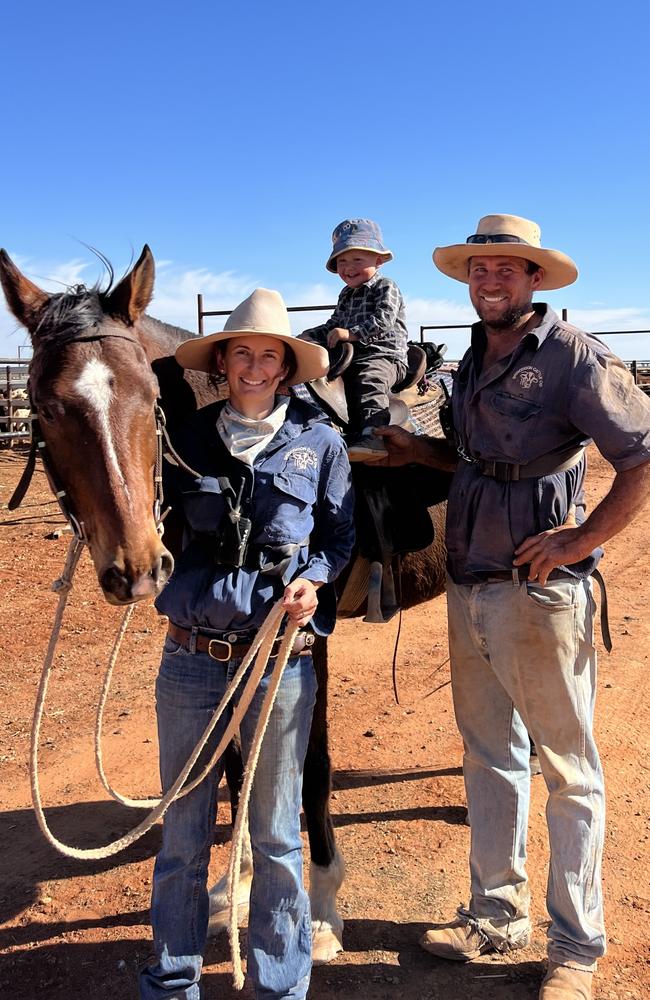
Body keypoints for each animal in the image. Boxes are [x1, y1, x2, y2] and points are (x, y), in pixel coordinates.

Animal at [0, 242, 448, 960]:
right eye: (42, 408)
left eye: (149, 396)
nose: (137, 568)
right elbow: (236, 760)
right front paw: (231, 889)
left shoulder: (304, 629)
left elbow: (311, 766)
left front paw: (324, 911)